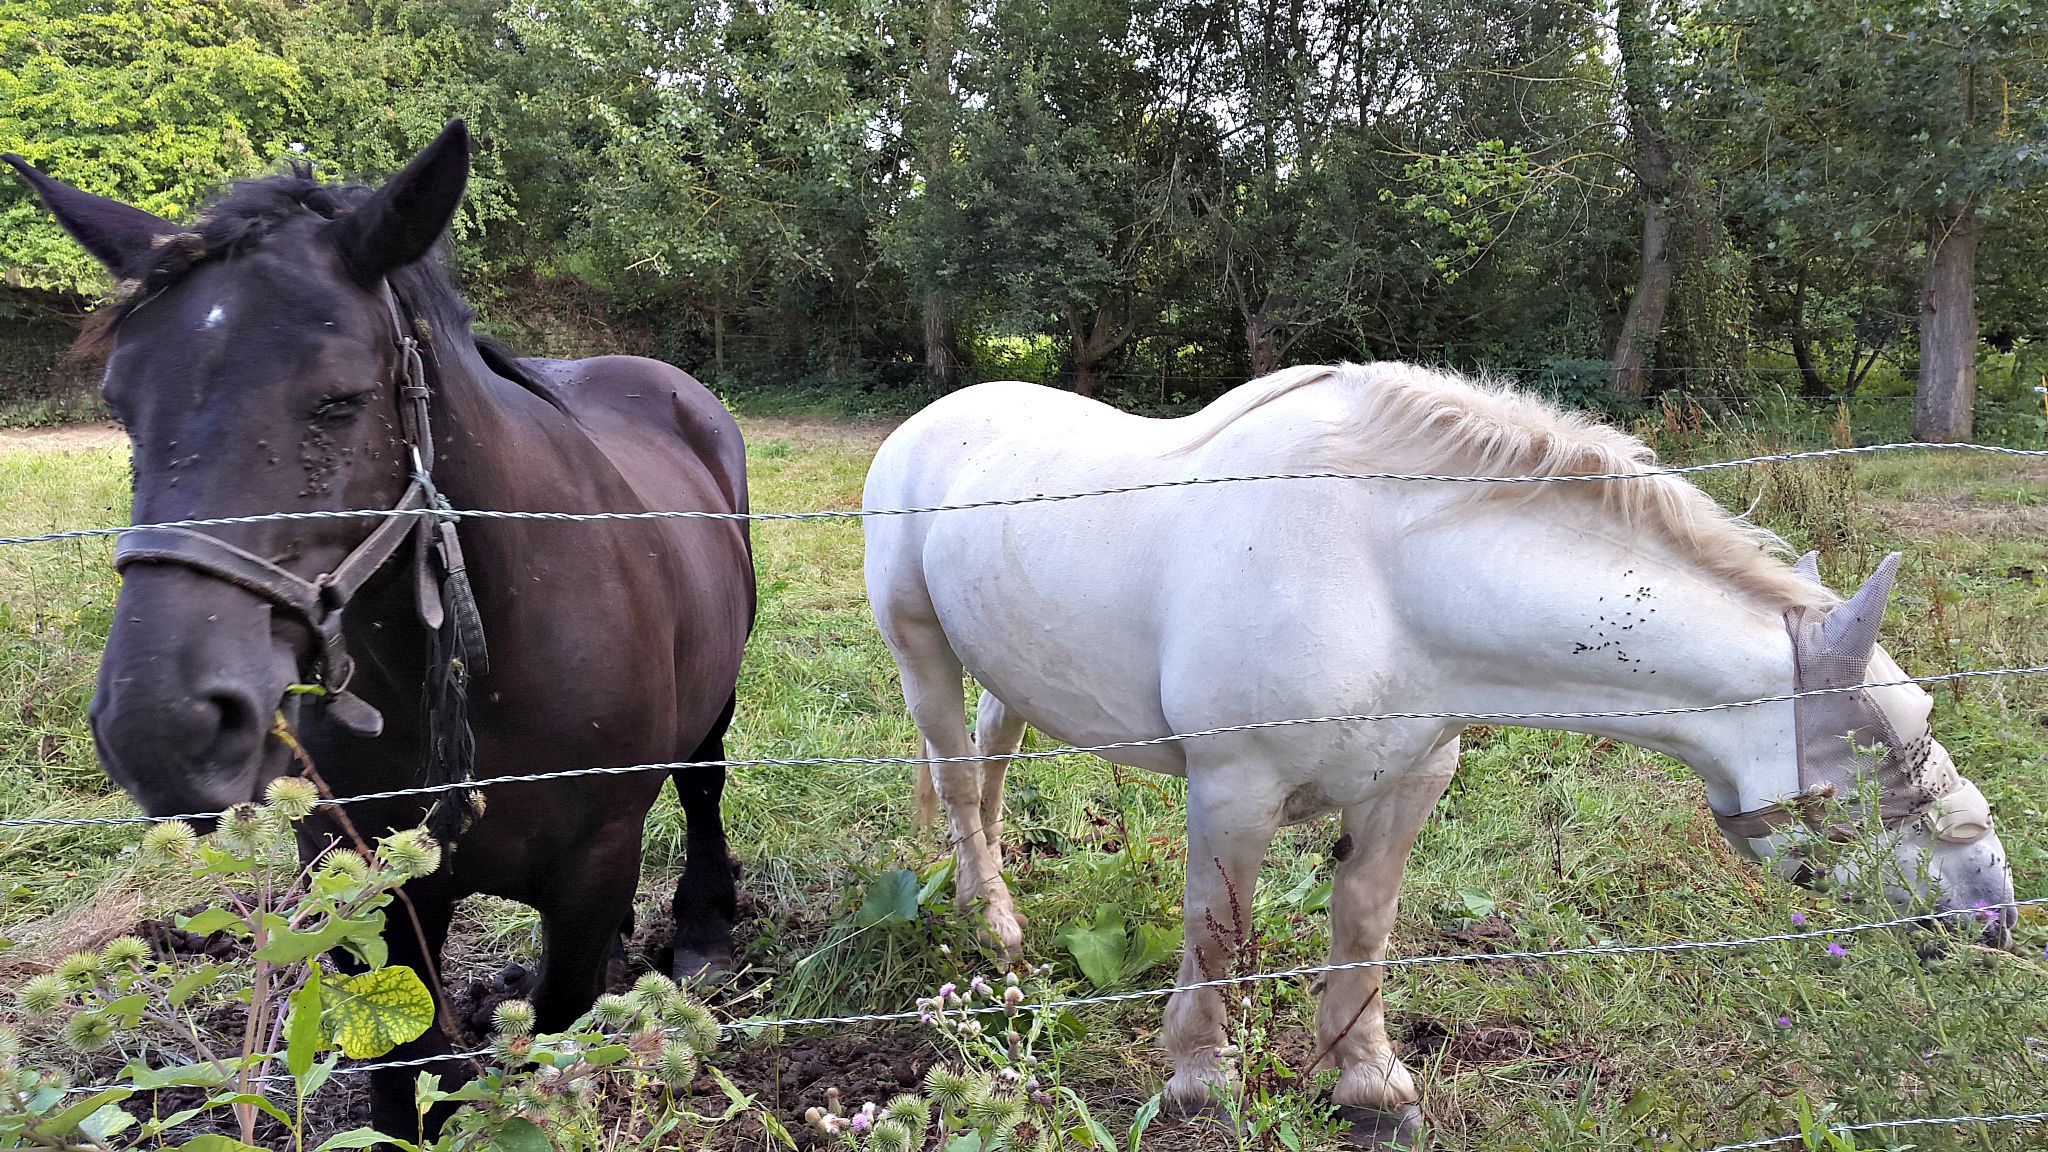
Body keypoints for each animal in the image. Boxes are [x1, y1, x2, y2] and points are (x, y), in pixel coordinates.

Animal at [4, 120, 757, 1123]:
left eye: (340, 398)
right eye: (122, 403)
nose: (159, 725)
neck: (489, 666)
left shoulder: (591, 870)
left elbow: (546, 1046)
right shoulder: (379, 889)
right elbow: (412, 1074)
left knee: (703, 784)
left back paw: (704, 930)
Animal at [856, 362, 2007, 1131]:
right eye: (1890, 757)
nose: (1992, 911)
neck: (1376, 574)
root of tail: (933, 418)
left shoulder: (1410, 779)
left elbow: (1363, 925)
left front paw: (1368, 1085)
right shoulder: (1232, 789)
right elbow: (1217, 933)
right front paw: (1201, 1080)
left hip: (1010, 669)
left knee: (992, 765)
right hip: (919, 653)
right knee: (956, 780)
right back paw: (996, 923)